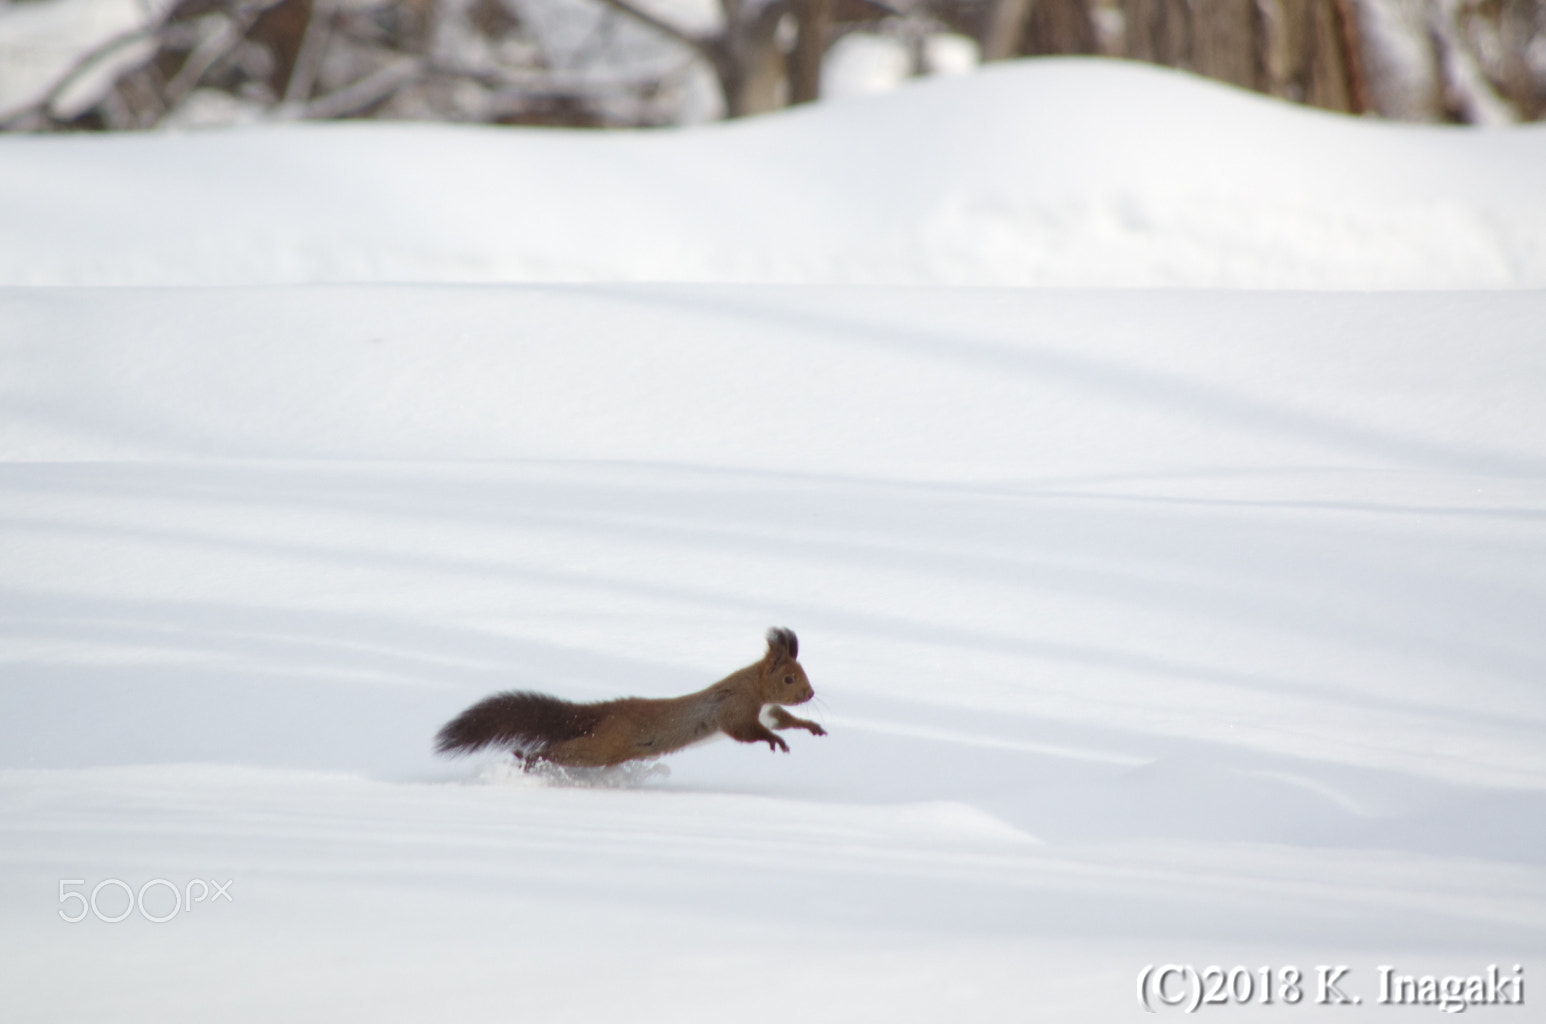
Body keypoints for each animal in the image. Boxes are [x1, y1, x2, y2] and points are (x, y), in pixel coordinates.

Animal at [429, 624, 828, 770]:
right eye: (790, 677)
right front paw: (775, 741)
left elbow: (785, 720)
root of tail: (607, 712)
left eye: (805, 675)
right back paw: (527, 758)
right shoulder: (734, 708)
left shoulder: (769, 710)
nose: (810, 693)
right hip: (602, 746)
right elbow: (746, 731)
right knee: (563, 751)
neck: (756, 689)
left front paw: (812, 727)